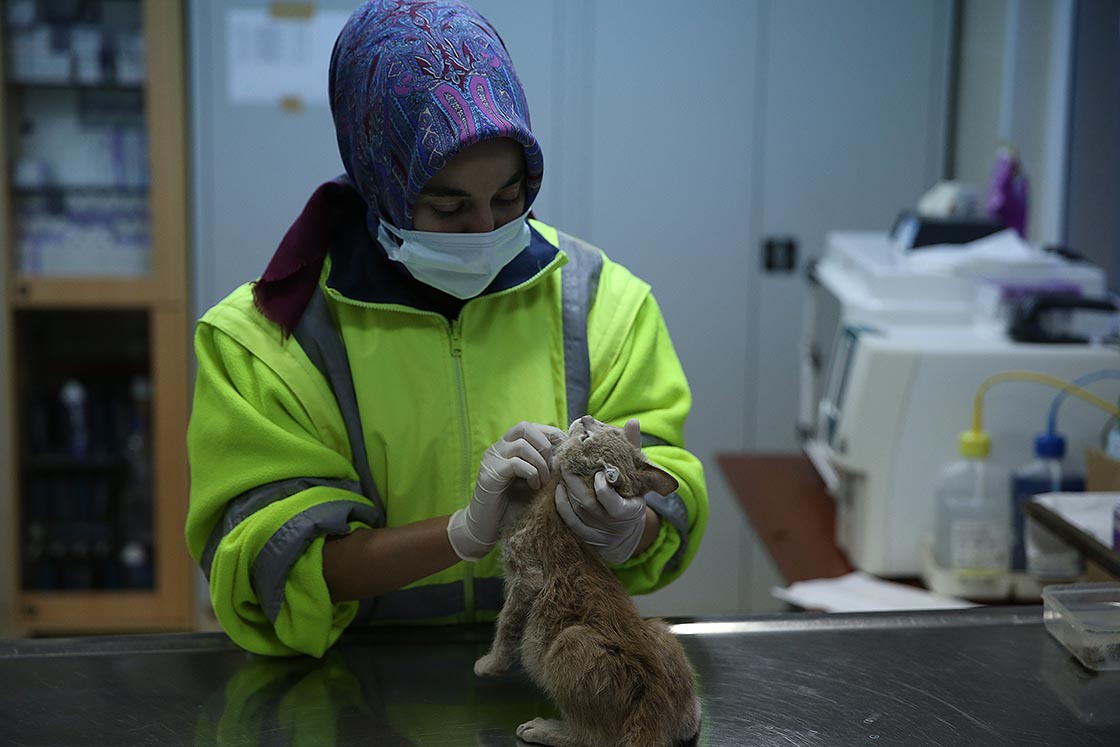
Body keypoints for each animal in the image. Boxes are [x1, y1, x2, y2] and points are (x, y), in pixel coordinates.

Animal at [472, 414, 698, 747]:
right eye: (608, 427)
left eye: (586, 437)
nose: (586, 417)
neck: (551, 495)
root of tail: (652, 711)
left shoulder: (526, 577)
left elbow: (507, 624)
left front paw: (491, 663)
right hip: (662, 631)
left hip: (569, 640)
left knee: (591, 737)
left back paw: (545, 728)